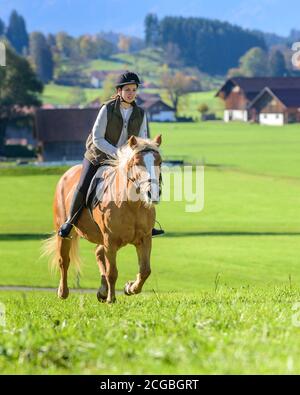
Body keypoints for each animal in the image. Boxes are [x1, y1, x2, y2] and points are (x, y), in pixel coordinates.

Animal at [42, 135, 162, 304]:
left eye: (160, 162)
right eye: (137, 163)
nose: (153, 193)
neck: (132, 204)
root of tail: (67, 174)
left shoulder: (144, 239)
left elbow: (145, 270)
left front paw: (130, 288)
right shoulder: (110, 240)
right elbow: (112, 272)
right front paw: (112, 299)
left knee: (98, 253)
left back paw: (103, 291)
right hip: (65, 232)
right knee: (64, 260)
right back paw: (63, 292)